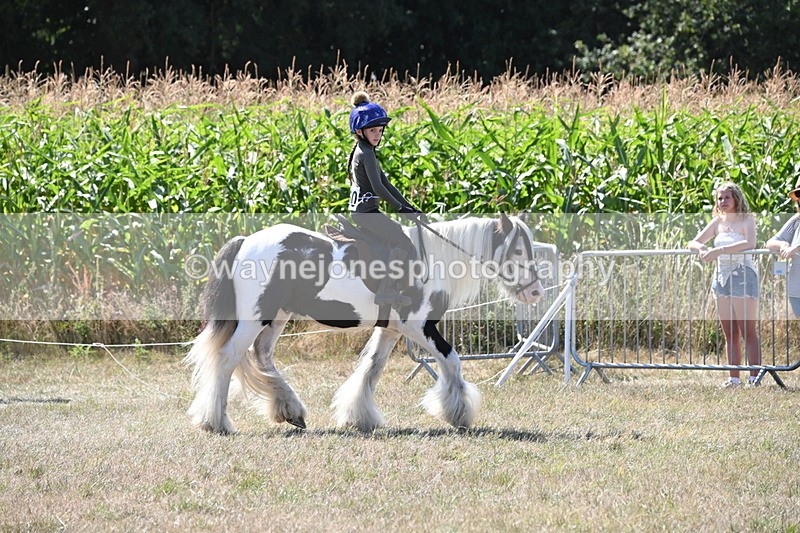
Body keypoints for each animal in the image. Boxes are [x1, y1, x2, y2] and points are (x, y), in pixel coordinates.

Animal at [185, 213, 544, 434]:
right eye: (516, 250)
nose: (536, 292)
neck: (435, 260)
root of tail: (245, 241)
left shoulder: (392, 329)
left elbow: (371, 368)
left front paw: (358, 416)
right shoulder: (419, 327)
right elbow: (451, 361)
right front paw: (458, 412)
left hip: (277, 316)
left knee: (262, 356)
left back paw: (290, 410)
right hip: (254, 317)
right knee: (228, 358)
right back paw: (216, 422)